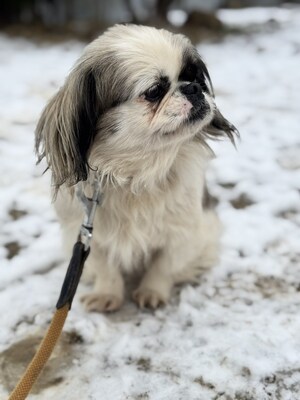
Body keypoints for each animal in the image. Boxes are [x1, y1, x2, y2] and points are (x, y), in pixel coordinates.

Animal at [35, 24, 238, 312]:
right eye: (154, 91)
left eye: (192, 76)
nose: (192, 88)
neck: (136, 174)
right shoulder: (86, 233)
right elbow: (106, 268)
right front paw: (107, 294)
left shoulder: (183, 232)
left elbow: (163, 266)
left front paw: (152, 292)